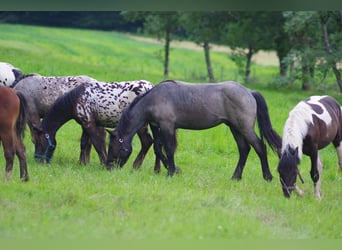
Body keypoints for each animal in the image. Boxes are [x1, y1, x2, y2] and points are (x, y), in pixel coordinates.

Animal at [106, 80, 280, 180]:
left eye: (114, 147)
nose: (108, 167)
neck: (154, 99)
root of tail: (249, 92)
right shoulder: (158, 127)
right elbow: (157, 149)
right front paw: (173, 170)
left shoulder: (167, 126)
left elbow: (169, 149)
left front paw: (171, 172)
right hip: (235, 128)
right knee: (244, 150)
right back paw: (235, 177)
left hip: (244, 128)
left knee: (260, 147)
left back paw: (268, 176)